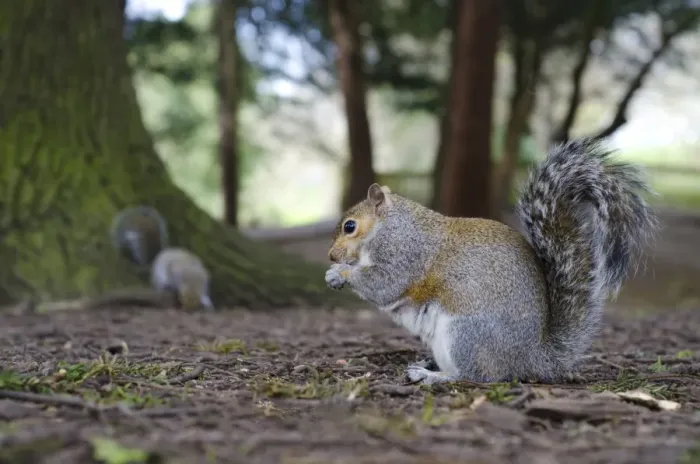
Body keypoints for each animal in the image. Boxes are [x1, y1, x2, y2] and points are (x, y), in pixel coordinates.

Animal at [324, 138, 658, 385]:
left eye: (350, 226)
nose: (331, 255)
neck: (391, 225)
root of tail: (532, 358)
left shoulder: (404, 253)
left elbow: (384, 283)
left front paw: (340, 272)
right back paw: (429, 365)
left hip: (465, 334)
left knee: (478, 376)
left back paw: (435, 377)